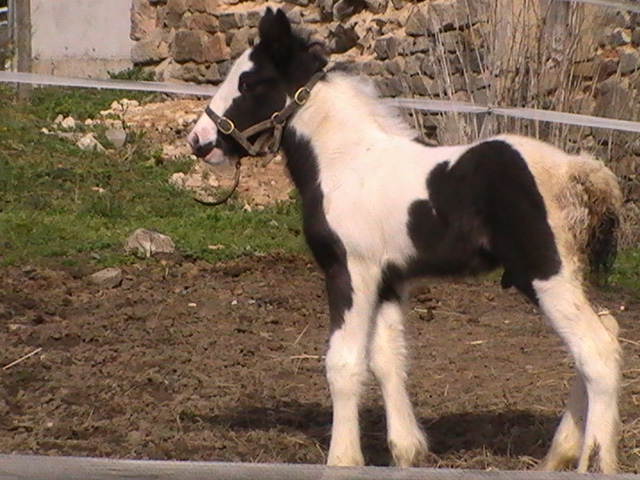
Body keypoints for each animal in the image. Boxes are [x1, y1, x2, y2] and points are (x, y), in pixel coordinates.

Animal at [188, 9, 624, 474]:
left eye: (250, 82)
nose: (199, 141)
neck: (346, 161)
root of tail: (578, 171)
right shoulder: (388, 279)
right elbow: (388, 359)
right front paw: (407, 450)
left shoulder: (350, 270)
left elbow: (344, 362)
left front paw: (343, 458)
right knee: (603, 334)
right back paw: (561, 452)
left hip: (545, 273)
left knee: (595, 350)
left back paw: (595, 460)